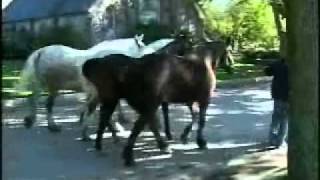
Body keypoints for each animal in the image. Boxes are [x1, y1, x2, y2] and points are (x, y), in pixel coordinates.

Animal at [15, 34, 174, 140]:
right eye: (143, 48)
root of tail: (40, 51)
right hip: (50, 85)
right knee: (44, 103)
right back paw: (49, 125)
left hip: (47, 85)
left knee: (36, 100)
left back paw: (33, 121)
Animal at [82, 39, 231, 166]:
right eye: (228, 51)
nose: (231, 66)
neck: (203, 61)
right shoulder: (204, 99)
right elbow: (201, 120)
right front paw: (200, 142)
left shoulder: (189, 101)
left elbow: (194, 117)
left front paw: (185, 136)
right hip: (148, 103)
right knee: (139, 125)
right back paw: (131, 155)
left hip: (115, 101)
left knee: (107, 118)